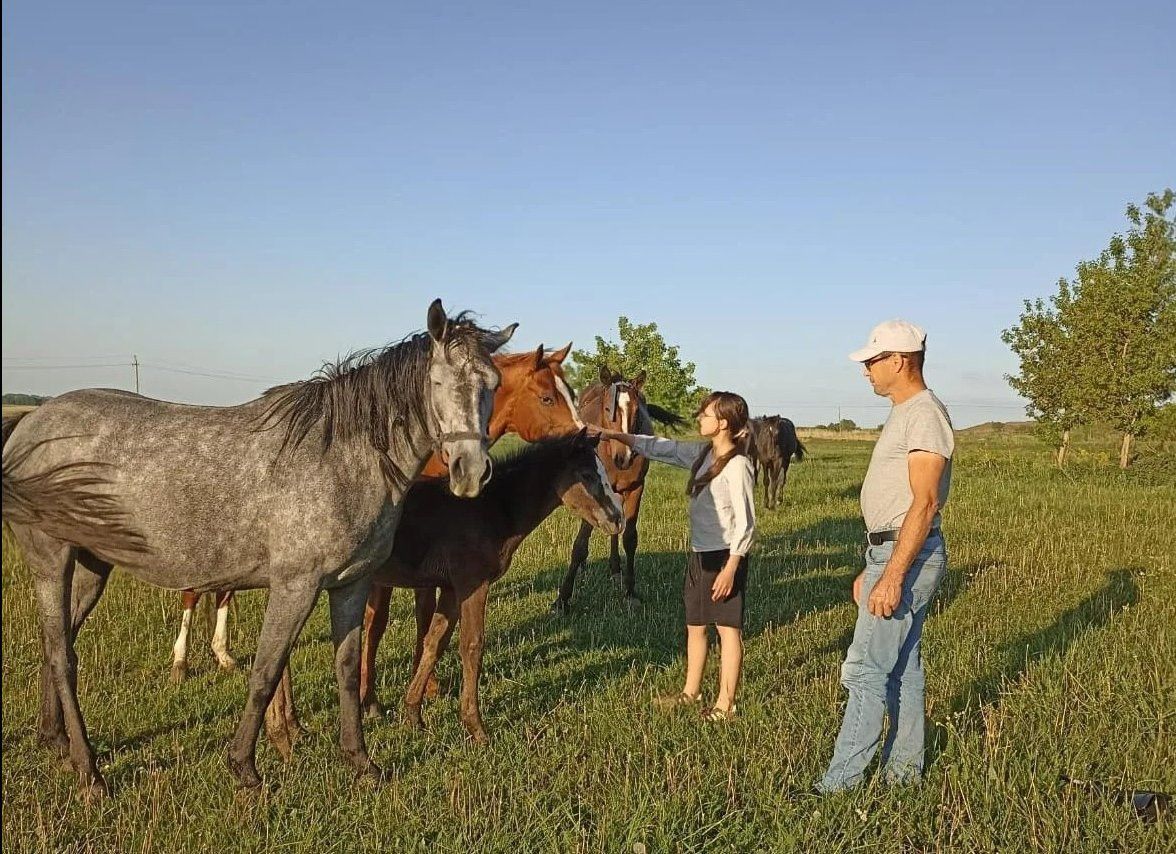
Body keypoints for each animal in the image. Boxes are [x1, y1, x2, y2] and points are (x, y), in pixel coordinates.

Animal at [0, 299, 513, 799]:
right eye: (438, 382)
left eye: (492, 383)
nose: (471, 473)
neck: (340, 458)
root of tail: (30, 423)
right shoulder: (294, 587)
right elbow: (266, 671)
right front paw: (245, 768)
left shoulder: (351, 584)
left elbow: (346, 669)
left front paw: (362, 764)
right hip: (50, 561)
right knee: (63, 658)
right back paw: (90, 775)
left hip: (92, 566)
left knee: (57, 645)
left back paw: (56, 741)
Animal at [169, 342, 583, 683]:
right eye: (548, 398)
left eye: (572, 393)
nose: (584, 437)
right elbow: (376, 623)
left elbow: (422, 614)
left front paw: (427, 684)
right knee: (193, 593)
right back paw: (182, 662)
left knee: (222, 592)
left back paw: (223, 654)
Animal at [551, 365, 685, 612]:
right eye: (607, 408)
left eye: (637, 410)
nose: (624, 457)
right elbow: (580, 545)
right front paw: (562, 600)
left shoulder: (635, 488)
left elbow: (630, 538)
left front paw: (630, 592)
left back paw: (615, 569)